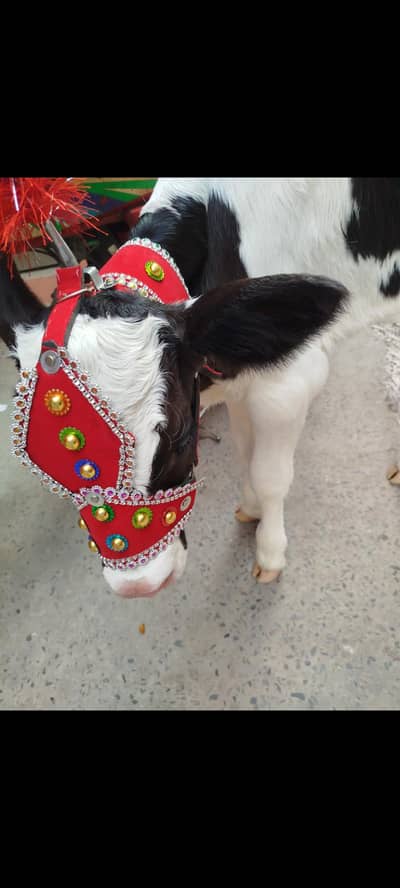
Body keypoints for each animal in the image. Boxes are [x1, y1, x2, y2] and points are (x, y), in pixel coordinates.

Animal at [2, 178, 400, 598]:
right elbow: (245, 453)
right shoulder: (241, 378)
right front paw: (250, 508)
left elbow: (270, 476)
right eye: (40, 466)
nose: (140, 586)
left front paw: (270, 554)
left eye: (179, 438)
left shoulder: (289, 383)